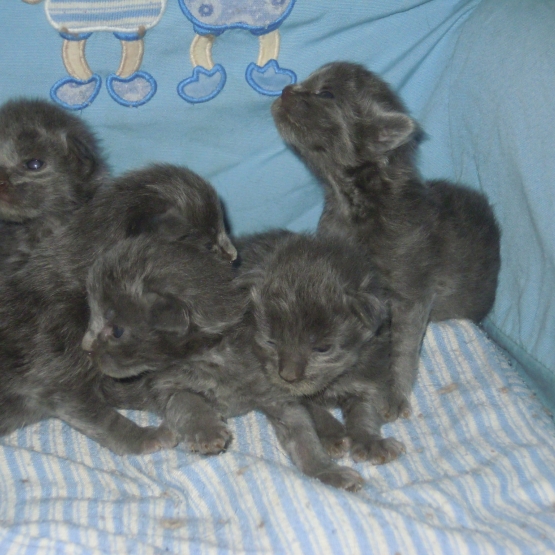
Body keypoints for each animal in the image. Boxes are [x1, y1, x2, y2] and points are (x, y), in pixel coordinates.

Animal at [86, 235, 368, 491]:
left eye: (117, 331)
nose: (86, 348)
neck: (213, 356)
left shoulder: (278, 395)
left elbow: (304, 439)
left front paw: (327, 472)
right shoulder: (164, 383)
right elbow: (185, 400)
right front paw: (206, 429)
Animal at [271, 61, 501, 420]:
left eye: (326, 93)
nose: (285, 90)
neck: (352, 202)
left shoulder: (412, 294)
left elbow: (403, 347)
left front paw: (393, 393)